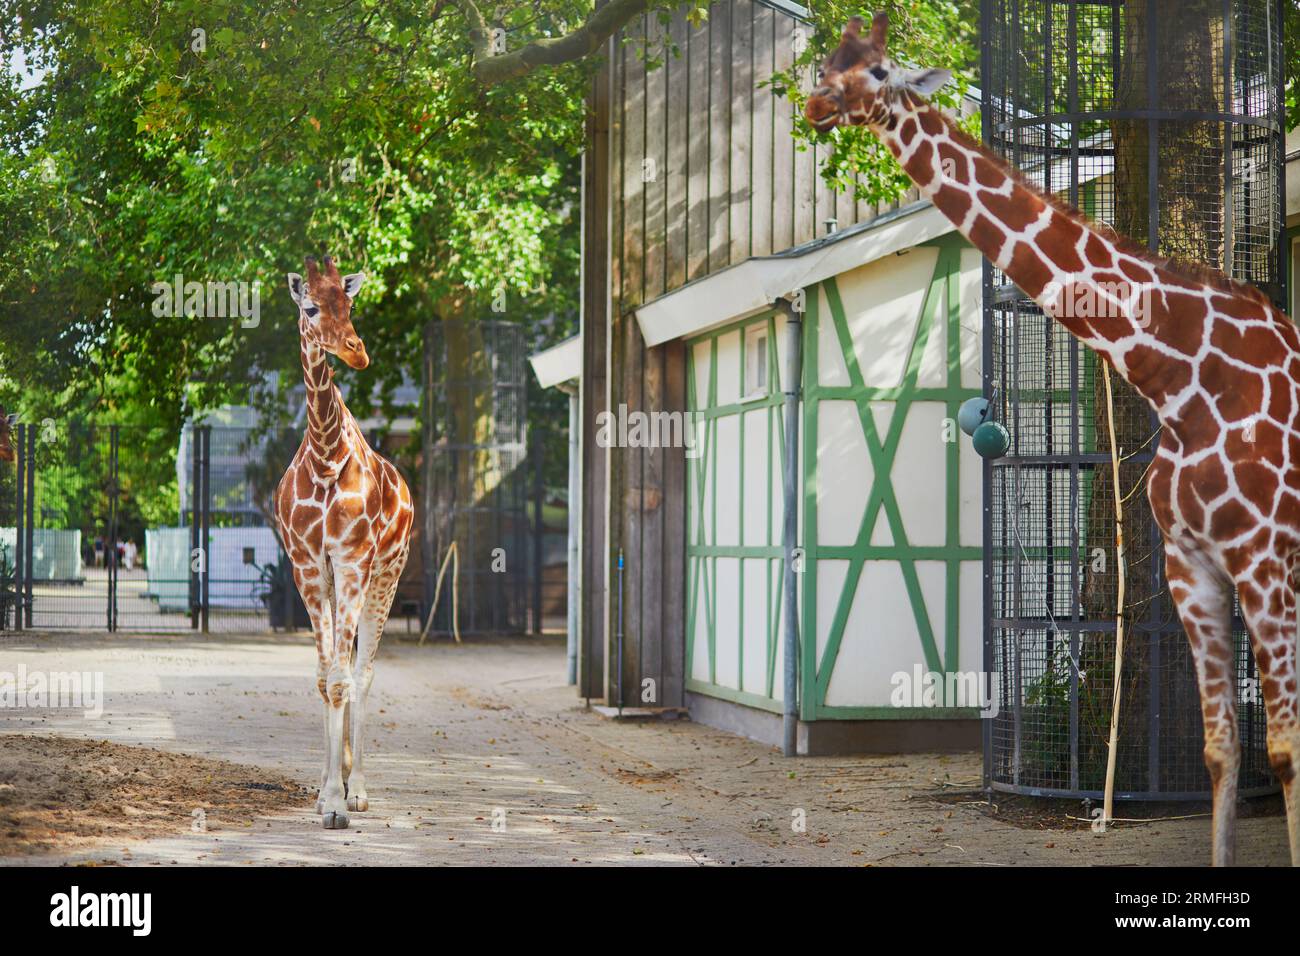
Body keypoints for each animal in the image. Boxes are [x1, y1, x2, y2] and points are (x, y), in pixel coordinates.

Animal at [807, 13, 1300, 866]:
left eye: (877, 72)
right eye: (825, 62)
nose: (814, 107)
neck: (1181, 371)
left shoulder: (1264, 560)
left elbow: (1283, 749)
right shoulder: (1194, 565)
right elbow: (1221, 751)